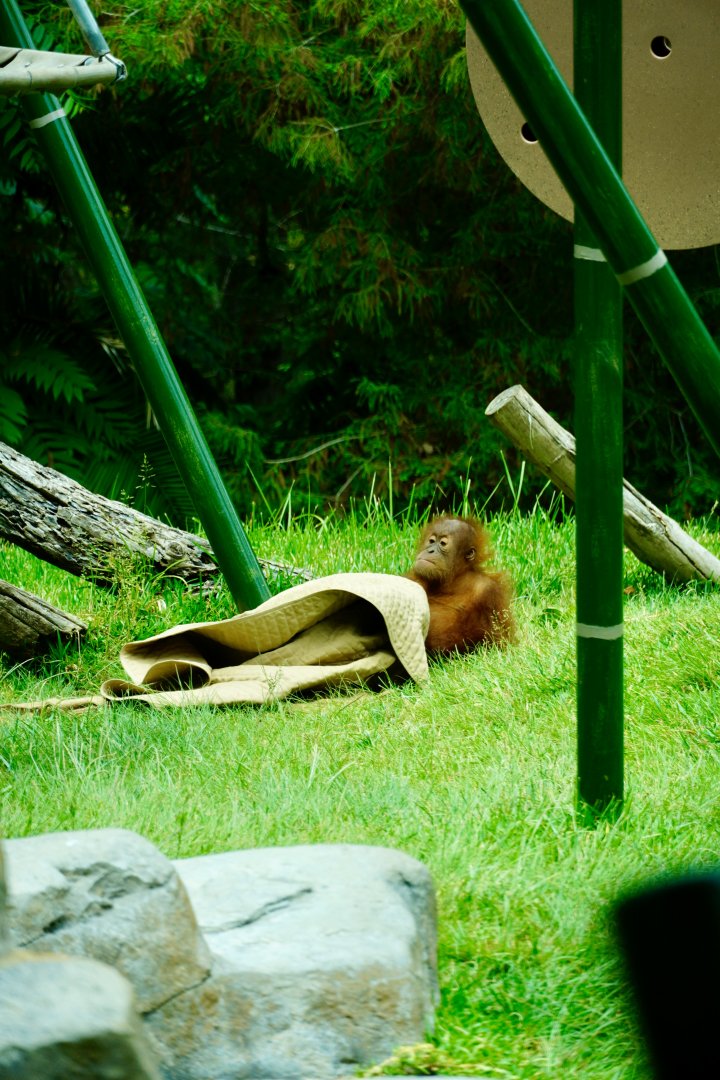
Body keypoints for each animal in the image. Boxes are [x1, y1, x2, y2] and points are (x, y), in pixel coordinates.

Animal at [406, 515, 513, 655]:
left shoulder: (490, 591)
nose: (430, 550)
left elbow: (501, 644)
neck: (453, 580)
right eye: (431, 541)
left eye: (443, 543)